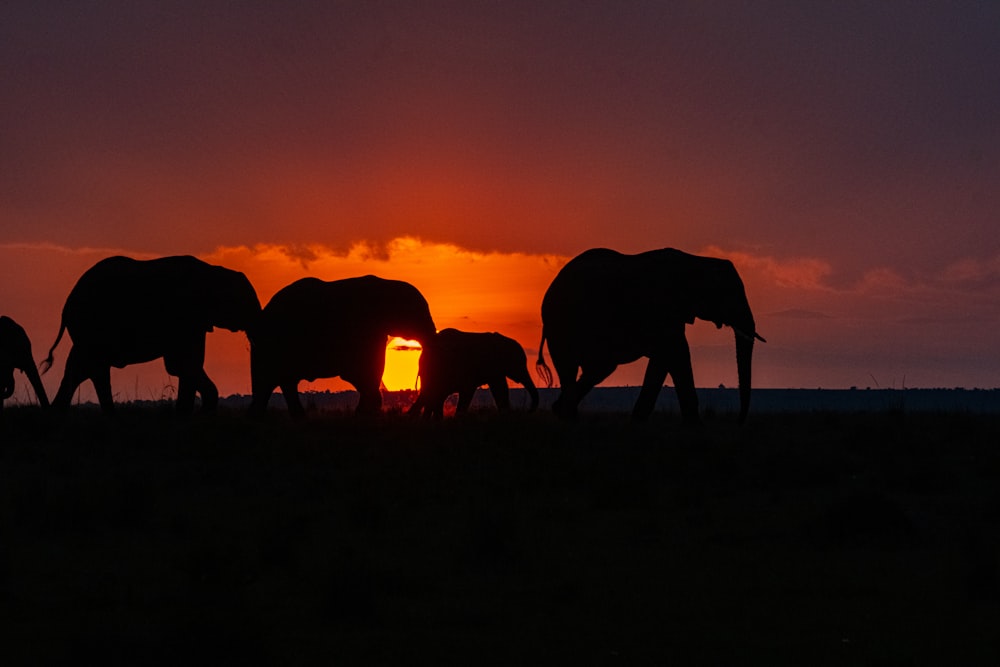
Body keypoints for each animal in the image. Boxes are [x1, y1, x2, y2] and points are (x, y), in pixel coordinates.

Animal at [42, 254, 262, 414]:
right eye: (246, 303)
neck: (213, 271)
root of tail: (67, 304)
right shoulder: (185, 317)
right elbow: (183, 364)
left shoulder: (195, 323)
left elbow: (184, 365)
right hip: (91, 326)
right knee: (93, 369)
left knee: (81, 369)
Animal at [248, 276, 436, 418]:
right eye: (419, 312)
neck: (387, 283)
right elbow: (363, 371)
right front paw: (364, 414)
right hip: (274, 344)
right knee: (273, 381)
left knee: (277, 382)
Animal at [408, 328, 540, 418]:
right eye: (520, 364)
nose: (528, 411)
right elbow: (471, 390)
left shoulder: (495, 370)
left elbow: (499, 389)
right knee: (432, 395)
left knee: (432, 395)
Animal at [540, 248, 764, 426]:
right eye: (729, 294)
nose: (738, 422)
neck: (696, 261)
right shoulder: (662, 309)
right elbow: (677, 353)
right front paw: (696, 426)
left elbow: (665, 359)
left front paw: (638, 421)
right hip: (562, 325)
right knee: (573, 367)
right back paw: (568, 417)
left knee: (598, 369)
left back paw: (561, 412)